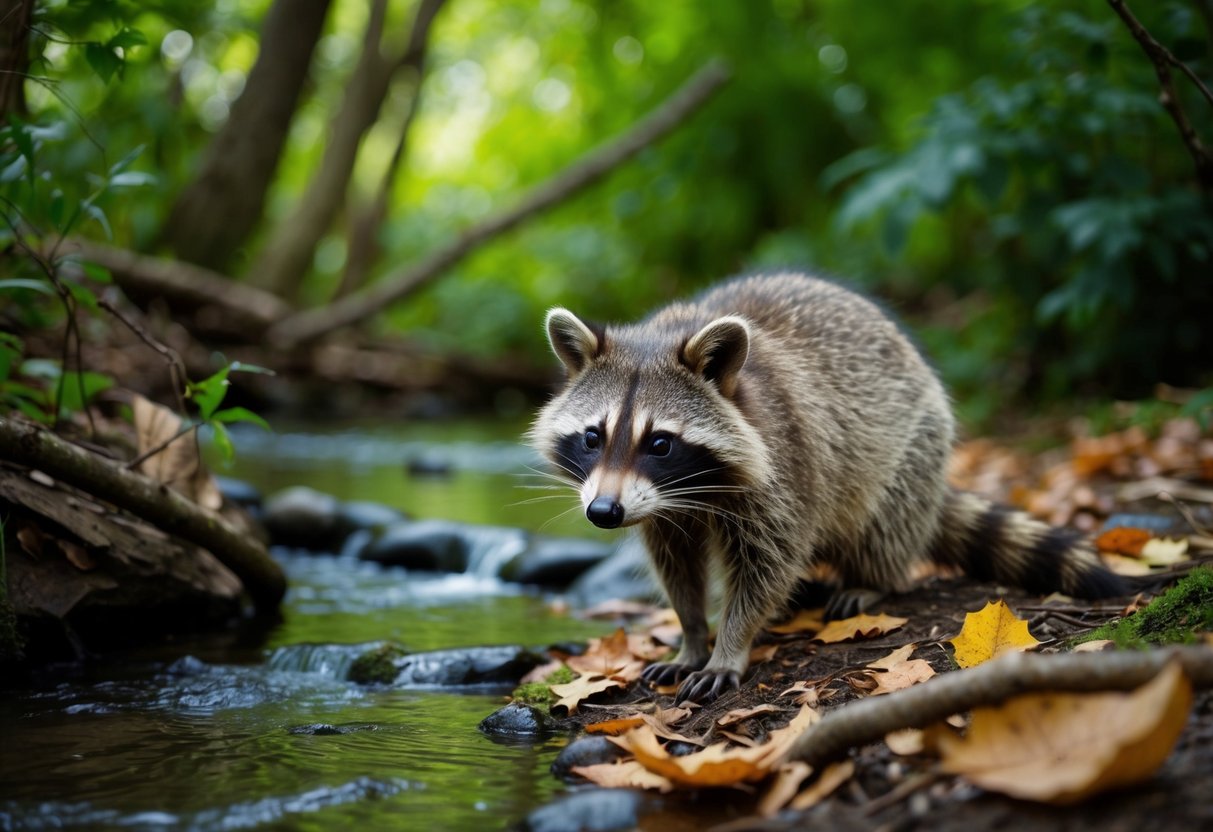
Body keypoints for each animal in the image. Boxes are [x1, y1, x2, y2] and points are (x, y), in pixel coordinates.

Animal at [529, 272, 1125, 703]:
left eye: (660, 443)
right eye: (592, 436)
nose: (604, 511)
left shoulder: (787, 464)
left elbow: (769, 564)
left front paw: (731, 642)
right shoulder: (663, 508)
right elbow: (677, 566)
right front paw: (693, 633)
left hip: (914, 443)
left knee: (887, 517)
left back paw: (874, 577)